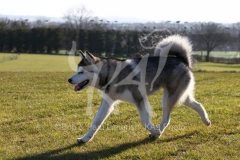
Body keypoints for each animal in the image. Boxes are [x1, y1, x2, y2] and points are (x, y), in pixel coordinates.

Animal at [67, 34, 210, 142]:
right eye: (77, 71)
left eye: (81, 72)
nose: (69, 80)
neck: (111, 74)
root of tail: (181, 60)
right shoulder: (108, 102)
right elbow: (95, 122)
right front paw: (85, 138)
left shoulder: (140, 98)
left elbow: (144, 121)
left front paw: (155, 132)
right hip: (180, 95)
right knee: (198, 104)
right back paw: (206, 120)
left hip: (168, 97)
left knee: (167, 118)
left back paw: (158, 132)